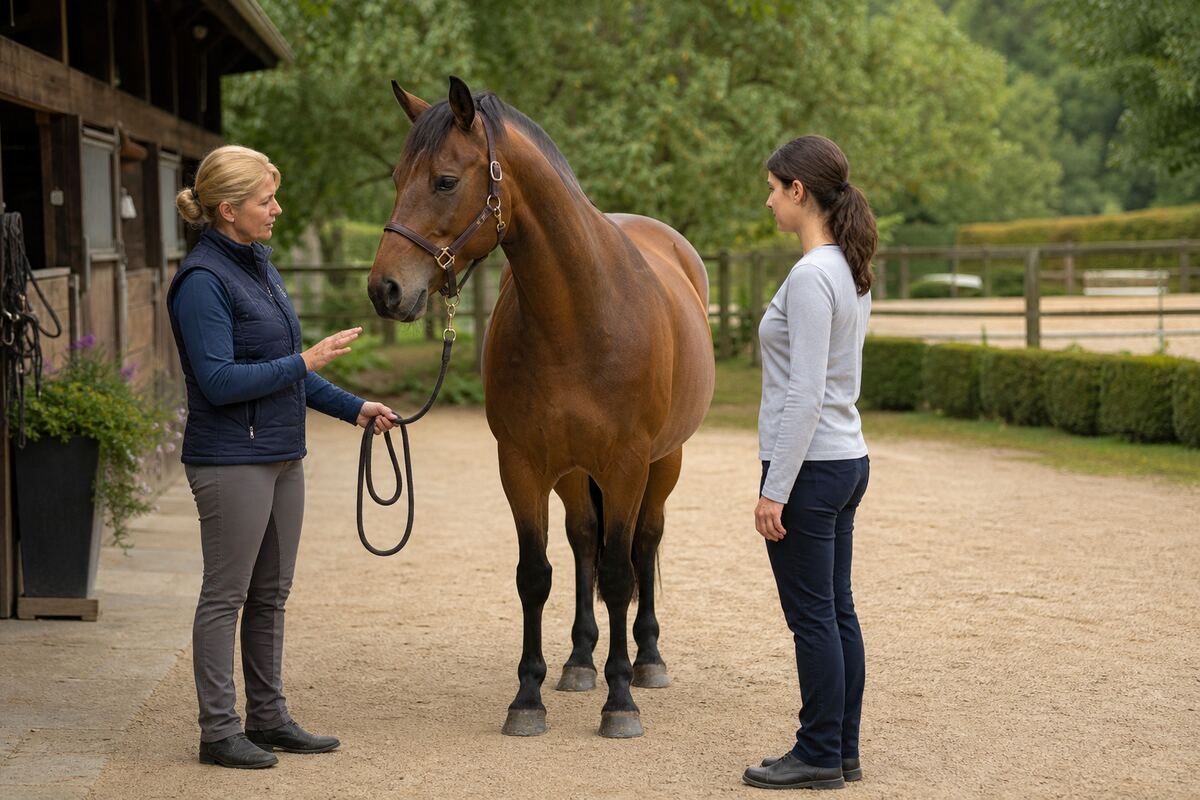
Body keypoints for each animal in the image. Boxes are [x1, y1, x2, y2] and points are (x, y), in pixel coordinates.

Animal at [367, 76, 715, 739]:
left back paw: (647, 660)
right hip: (573, 471)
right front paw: (527, 698)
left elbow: (621, 573)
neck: (579, 316)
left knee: (645, 543)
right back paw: (579, 661)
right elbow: (536, 576)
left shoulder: (627, 466)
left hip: (667, 461)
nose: (385, 290)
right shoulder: (522, 464)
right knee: (582, 542)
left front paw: (620, 701)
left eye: (444, 181)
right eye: (396, 178)